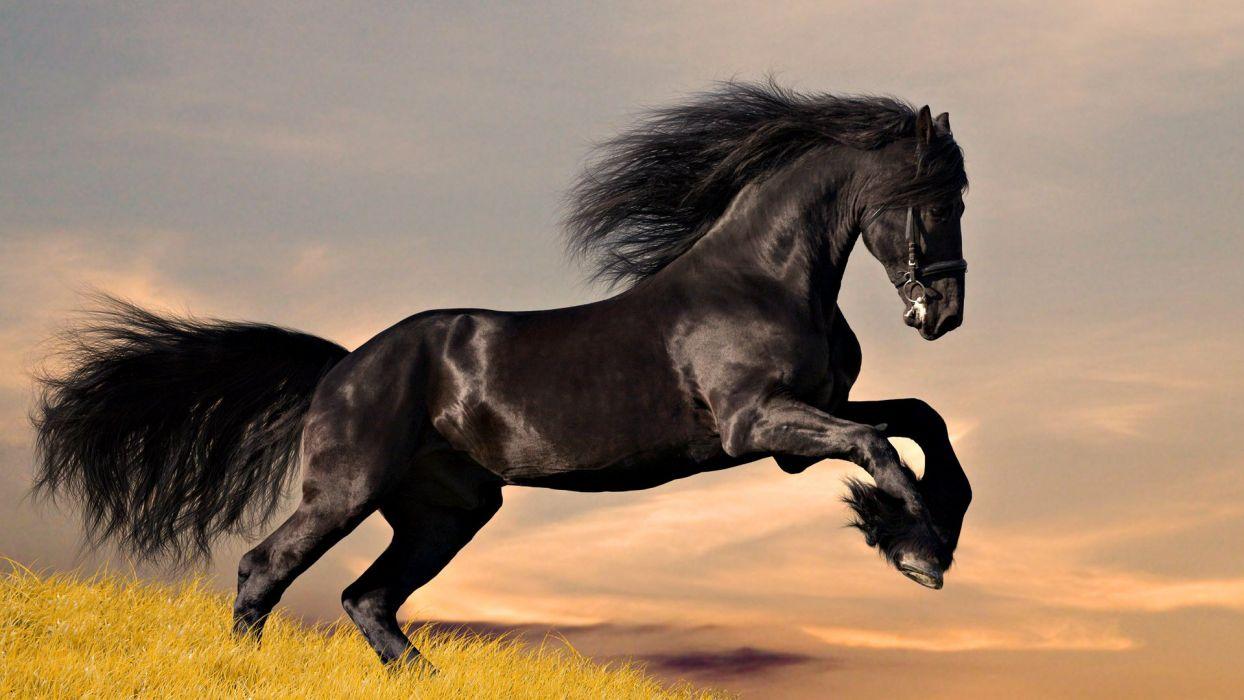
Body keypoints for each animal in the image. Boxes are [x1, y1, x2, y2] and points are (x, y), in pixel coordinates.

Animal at [32, 80, 973, 668]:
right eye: (935, 199)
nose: (945, 313)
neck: (762, 278)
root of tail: (343, 367)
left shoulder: (805, 422)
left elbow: (921, 419)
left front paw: (926, 529)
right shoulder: (758, 426)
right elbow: (879, 446)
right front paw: (915, 550)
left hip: (448, 510)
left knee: (368, 599)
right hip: (347, 490)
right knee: (266, 569)